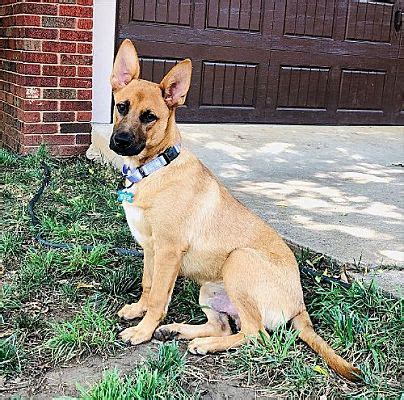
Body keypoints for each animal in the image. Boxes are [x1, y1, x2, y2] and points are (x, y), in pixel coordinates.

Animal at [108, 39, 360, 382]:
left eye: (150, 117)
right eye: (122, 107)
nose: (120, 141)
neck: (155, 169)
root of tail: (299, 304)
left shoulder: (169, 250)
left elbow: (159, 296)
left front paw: (142, 331)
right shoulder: (151, 248)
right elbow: (148, 285)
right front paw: (139, 311)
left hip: (238, 260)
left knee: (256, 334)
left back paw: (203, 343)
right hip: (210, 290)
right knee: (225, 325)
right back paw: (179, 331)